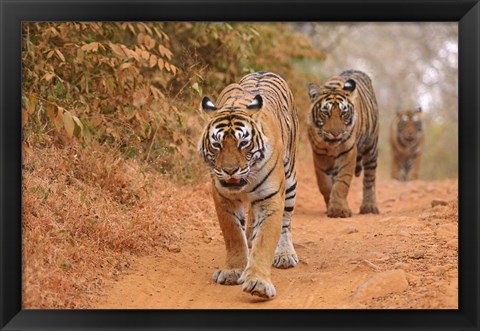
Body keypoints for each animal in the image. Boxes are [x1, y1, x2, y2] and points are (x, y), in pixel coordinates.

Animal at [198, 71, 296, 300]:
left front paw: (258, 283)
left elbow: (265, 241)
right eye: (216, 144)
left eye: (243, 143)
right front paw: (233, 271)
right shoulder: (223, 198)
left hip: (290, 181)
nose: (230, 170)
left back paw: (285, 254)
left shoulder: (270, 199)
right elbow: (233, 235)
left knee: (286, 223)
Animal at [306, 69, 380, 219]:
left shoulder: (348, 151)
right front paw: (331, 205)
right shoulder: (319, 154)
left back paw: (369, 206)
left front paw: (338, 210)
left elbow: (341, 183)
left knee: (369, 178)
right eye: (325, 113)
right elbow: (324, 183)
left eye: (344, 113)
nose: (336, 133)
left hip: (371, 148)